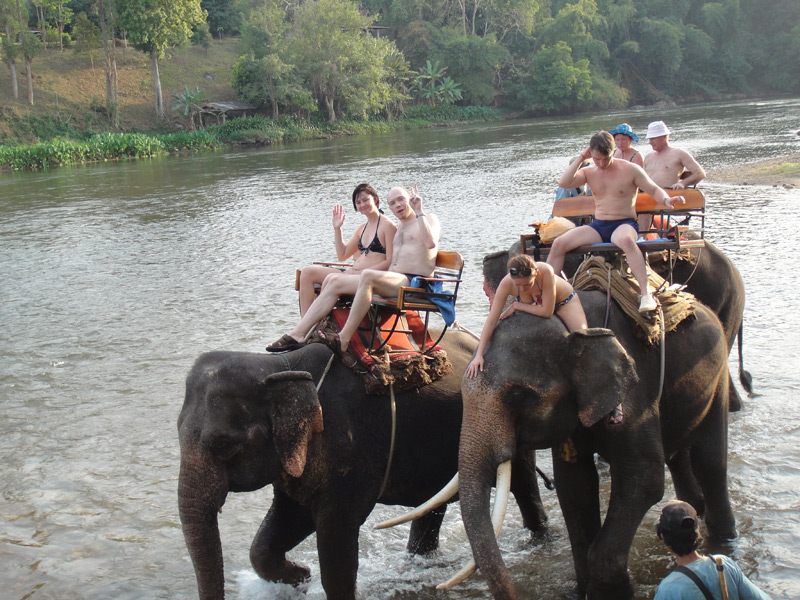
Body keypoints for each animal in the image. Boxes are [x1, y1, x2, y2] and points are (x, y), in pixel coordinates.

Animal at [177, 332, 548, 600]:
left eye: (223, 444)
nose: (302, 575)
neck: (276, 367)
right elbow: (277, 531)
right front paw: (301, 577)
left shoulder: (349, 449)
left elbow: (336, 538)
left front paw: (311, 577)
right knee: (432, 504)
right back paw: (420, 563)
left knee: (523, 484)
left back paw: (538, 542)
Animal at [454, 288, 736, 596]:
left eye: (517, 395)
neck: (572, 327)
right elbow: (574, 486)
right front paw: (585, 590)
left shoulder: (635, 395)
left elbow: (644, 478)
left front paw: (617, 590)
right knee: (678, 455)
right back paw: (694, 510)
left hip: (718, 373)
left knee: (710, 461)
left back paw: (725, 541)